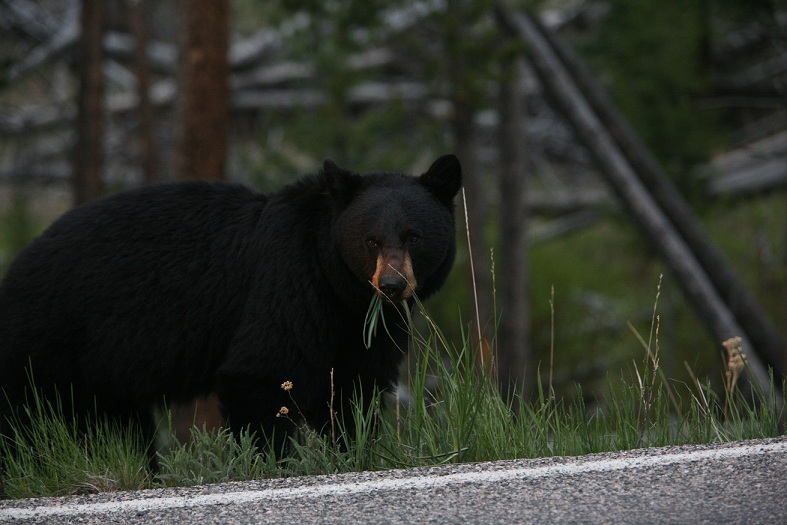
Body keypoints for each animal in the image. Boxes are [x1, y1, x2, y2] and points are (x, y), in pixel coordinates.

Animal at [0, 154, 462, 458]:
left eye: (413, 236)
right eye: (371, 240)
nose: (391, 285)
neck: (335, 282)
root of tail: (14, 270)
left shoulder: (367, 326)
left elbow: (355, 389)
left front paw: (353, 450)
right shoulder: (287, 281)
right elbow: (261, 371)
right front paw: (272, 461)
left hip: (104, 374)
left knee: (119, 427)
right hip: (46, 345)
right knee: (21, 420)